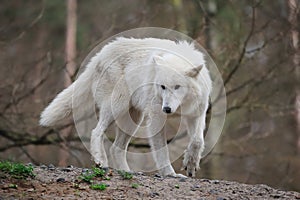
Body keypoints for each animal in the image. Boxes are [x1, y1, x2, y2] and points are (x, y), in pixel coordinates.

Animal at [39, 36, 212, 177]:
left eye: (177, 87)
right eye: (162, 87)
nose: (167, 109)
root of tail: (100, 54)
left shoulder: (197, 114)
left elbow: (197, 140)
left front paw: (191, 164)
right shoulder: (156, 118)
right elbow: (162, 151)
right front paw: (170, 174)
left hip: (133, 120)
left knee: (116, 148)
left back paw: (127, 171)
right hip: (116, 107)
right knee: (96, 132)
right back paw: (101, 160)